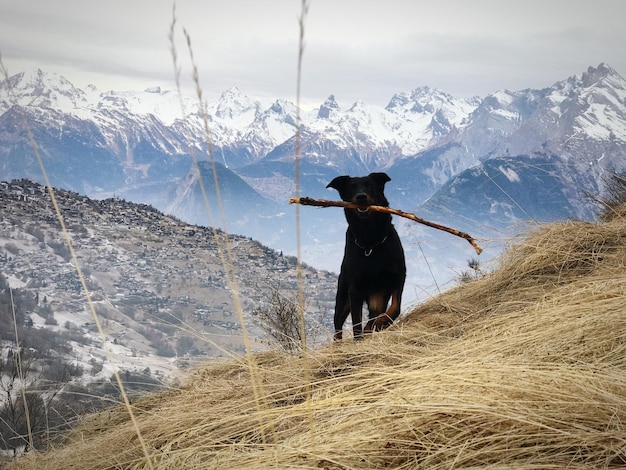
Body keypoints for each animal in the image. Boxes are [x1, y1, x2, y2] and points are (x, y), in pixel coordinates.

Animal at [324, 172, 408, 338]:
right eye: (351, 187)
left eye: (370, 185)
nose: (361, 196)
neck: (370, 242)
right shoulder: (355, 290)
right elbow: (356, 324)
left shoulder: (398, 277)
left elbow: (396, 307)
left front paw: (383, 321)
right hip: (343, 297)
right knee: (338, 326)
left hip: (378, 296)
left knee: (373, 317)